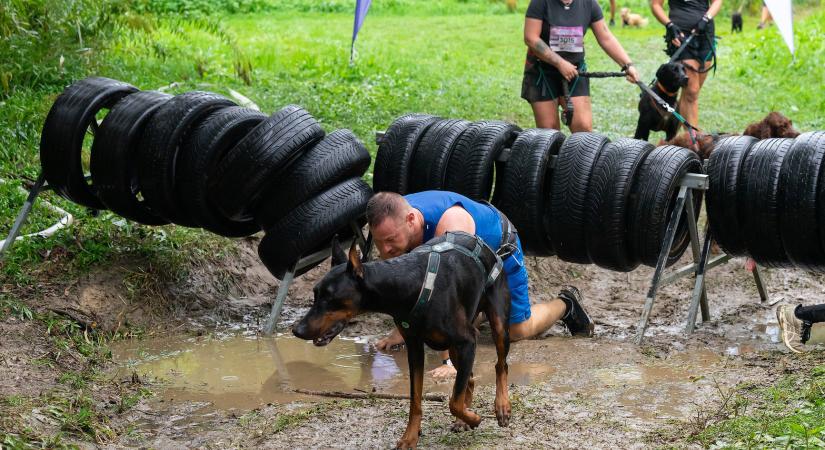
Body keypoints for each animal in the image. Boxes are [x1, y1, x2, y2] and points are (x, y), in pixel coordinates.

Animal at [292, 234, 512, 448]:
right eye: (315, 293)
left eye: (329, 298)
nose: (296, 330)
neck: (407, 287)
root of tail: (492, 250)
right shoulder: (414, 348)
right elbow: (417, 400)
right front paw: (410, 437)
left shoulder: (467, 340)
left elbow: (453, 403)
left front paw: (475, 418)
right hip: (456, 347)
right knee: (469, 378)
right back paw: (462, 420)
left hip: (496, 325)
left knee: (500, 365)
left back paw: (501, 406)